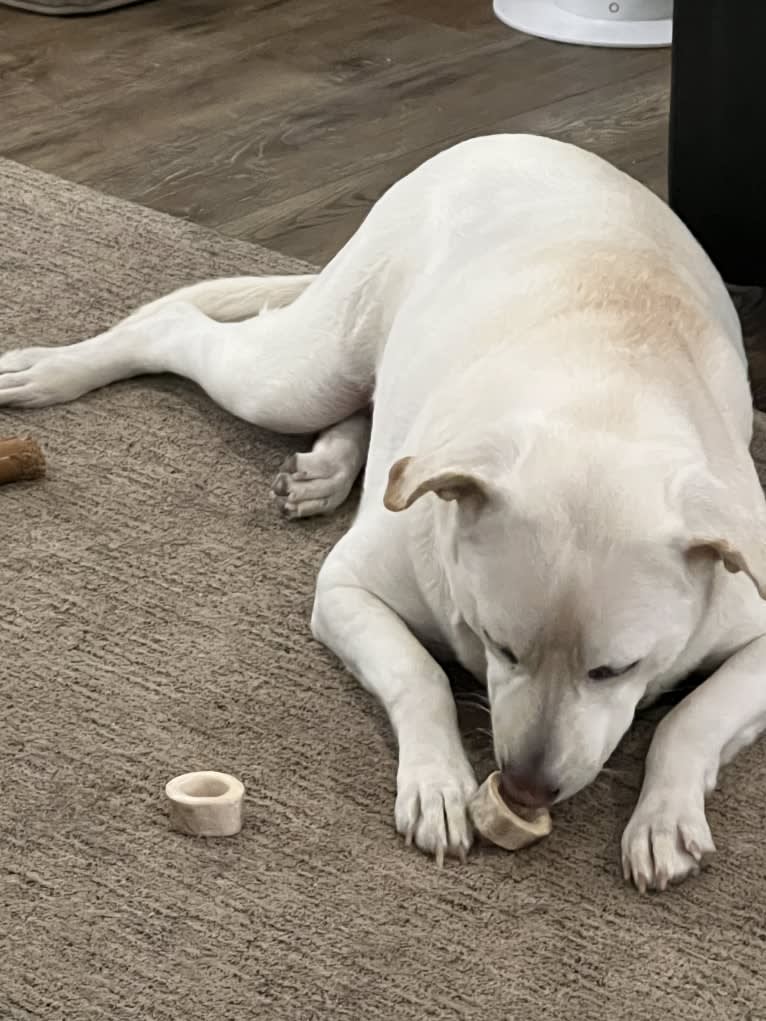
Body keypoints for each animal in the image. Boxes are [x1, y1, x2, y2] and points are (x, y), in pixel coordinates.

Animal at [6, 137, 766, 894]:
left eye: (615, 669)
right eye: (499, 645)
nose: (526, 788)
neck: (605, 409)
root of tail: (514, 140)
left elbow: (690, 719)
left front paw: (664, 817)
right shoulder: (345, 591)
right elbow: (418, 674)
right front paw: (437, 784)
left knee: (367, 411)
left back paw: (325, 470)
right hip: (298, 374)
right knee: (181, 331)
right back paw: (52, 372)